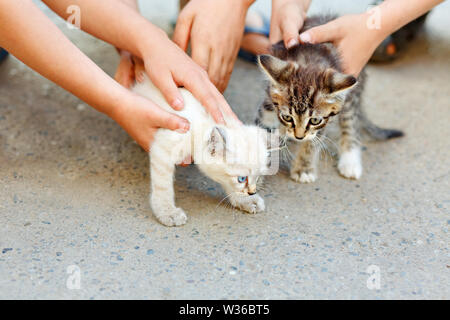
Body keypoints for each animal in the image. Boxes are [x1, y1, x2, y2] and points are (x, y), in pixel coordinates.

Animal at [132, 76, 276, 226]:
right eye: (242, 179)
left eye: (258, 177)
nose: (252, 192)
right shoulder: (163, 149)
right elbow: (163, 186)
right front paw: (168, 212)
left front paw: (246, 201)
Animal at [255, 15, 402, 182]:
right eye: (287, 117)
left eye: (314, 120)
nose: (299, 137)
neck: (308, 60)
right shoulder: (268, 101)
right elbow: (263, 130)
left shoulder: (325, 119)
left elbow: (314, 141)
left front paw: (303, 168)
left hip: (350, 96)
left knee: (350, 122)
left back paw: (350, 160)